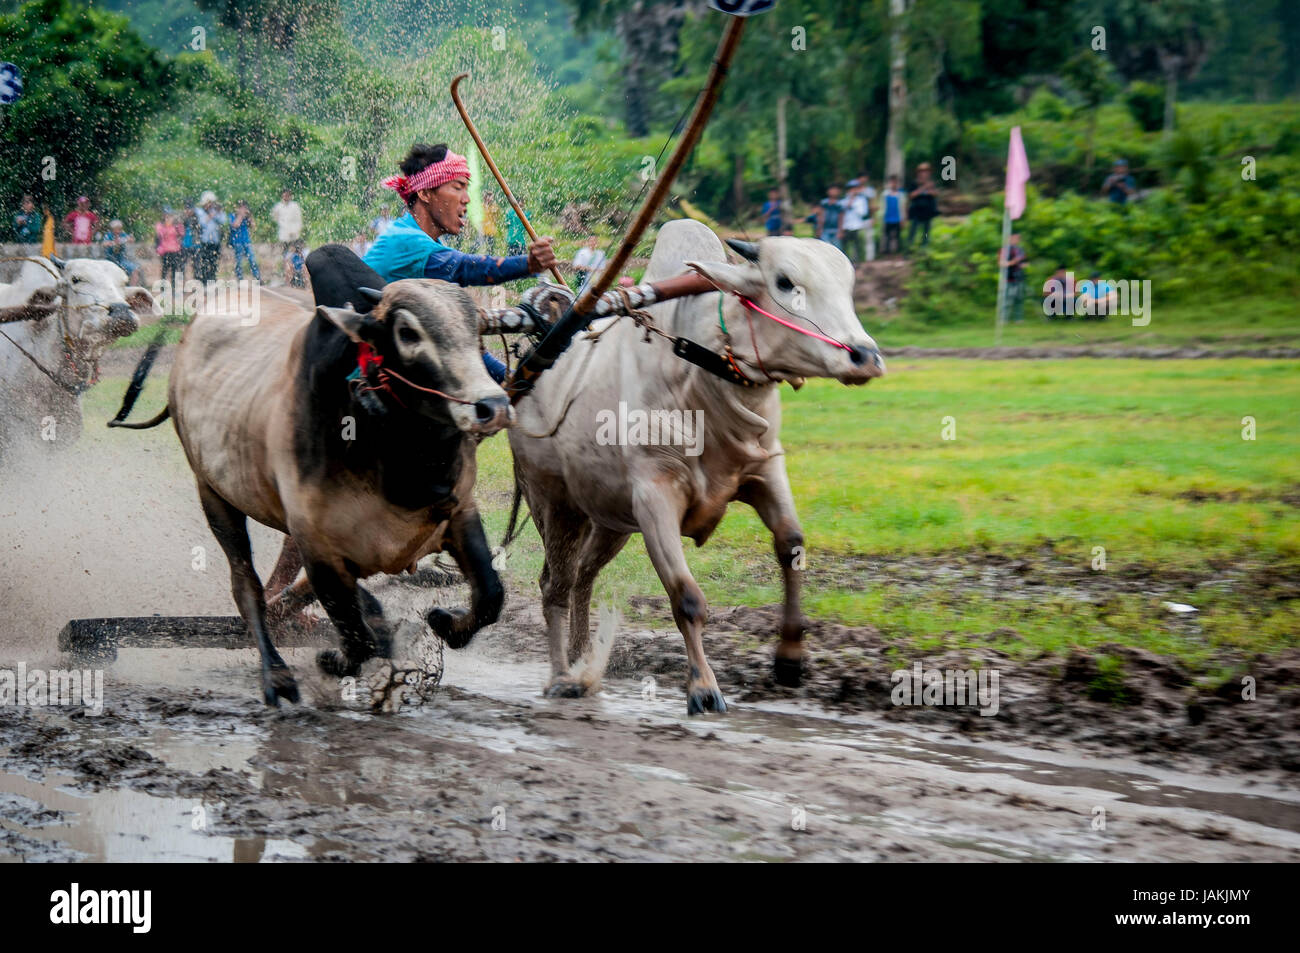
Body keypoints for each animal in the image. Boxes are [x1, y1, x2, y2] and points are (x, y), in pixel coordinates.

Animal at [506, 221, 883, 712]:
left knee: (582, 578)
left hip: (608, 519)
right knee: (555, 584)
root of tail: (526, 371)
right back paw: (561, 675)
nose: (865, 357)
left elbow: (792, 547)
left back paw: (581, 662)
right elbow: (686, 597)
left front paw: (790, 659)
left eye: (847, 285)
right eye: (785, 282)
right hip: (555, 505)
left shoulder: (765, 471)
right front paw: (703, 688)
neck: (701, 372)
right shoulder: (655, 497)